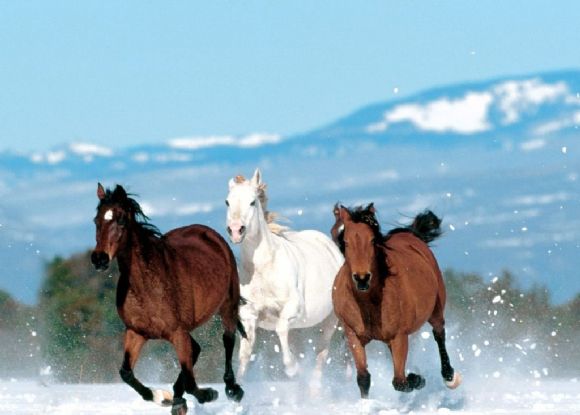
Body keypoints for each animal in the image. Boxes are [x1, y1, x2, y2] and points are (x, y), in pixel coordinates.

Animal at [90, 186, 245, 415]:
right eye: (96, 220)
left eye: (121, 220)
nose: (99, 259)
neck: (147, 286)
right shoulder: (136, 332)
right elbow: (126, 373)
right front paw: (162, 397)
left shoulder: (177, 332)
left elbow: (191, 382)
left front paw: (209, 394)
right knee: (196, 350)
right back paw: (177, 400)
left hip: (228, 304)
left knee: (228, 339)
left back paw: (232, 389)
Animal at [225, 170, 344, 386]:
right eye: (227, 202)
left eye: (252, 202)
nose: (236, 230)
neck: (264, 269)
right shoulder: (249, 316)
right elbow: (245, 356)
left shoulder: (292, 309)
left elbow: (280, 329)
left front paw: (292, 369)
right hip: (299, 329)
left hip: (330, 321)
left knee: (320, 355)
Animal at [334, 205, 460, 400]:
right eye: (346, 242)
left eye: (372, 241)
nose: (362, 278)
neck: (368, 303)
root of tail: (411, 235)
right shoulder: (353, 335)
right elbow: (363, 378)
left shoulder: (399, 337)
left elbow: (399, 381)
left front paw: (417, 379)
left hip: (436, 310)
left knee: (439, 334)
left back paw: (449, 377)